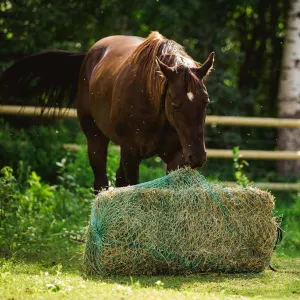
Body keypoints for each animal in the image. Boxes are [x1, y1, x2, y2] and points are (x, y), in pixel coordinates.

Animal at [0, 30, 213, 190]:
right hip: (95, 140)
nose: (197, 156)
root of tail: (88, 55)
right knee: (101, 183)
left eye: (206, 102)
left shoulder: (177, 158)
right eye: (175, 104)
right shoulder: (130, 152)